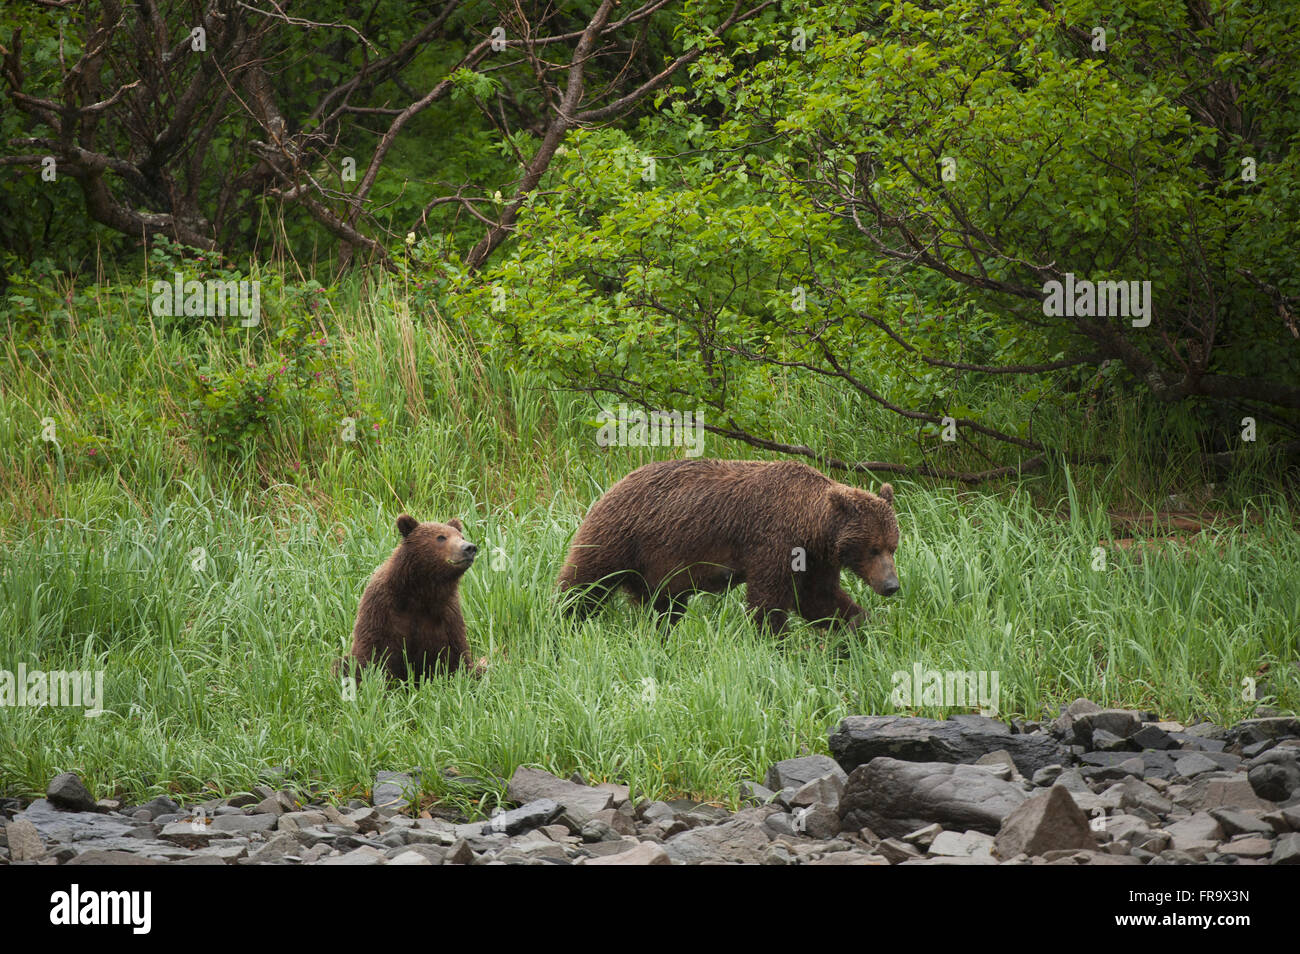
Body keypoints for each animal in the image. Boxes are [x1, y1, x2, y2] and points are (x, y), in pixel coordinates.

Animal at [341, 514, 484, 681]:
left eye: (461, 536)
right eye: (441, 537)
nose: (469, 548)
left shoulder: (447, 615)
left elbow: (456, 655)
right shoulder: (382, 610)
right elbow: (375, 654)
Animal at [556, 459, 899, 634]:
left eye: (892, 546)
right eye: (873, 548)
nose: (891, 585)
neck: (810, 525)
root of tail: (611, 487)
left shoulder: (815, 559)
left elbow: (818, 597)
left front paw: (857, 623)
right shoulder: (773, 541)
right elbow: (768, 601)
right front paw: (775, 640)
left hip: (659, 567)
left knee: (665, 606)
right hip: (620, 537)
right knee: (584, 585)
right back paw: (563, 621)